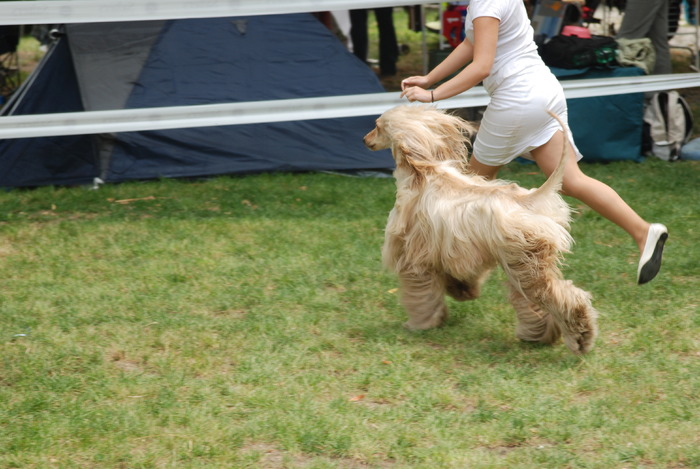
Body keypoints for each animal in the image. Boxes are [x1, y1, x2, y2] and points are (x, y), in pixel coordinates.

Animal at [364, 105, 600, 354]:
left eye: (377, 126)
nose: (364, 140)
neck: (424, 172)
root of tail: (529, 200)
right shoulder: (457, 250)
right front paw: (461, 290)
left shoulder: (414, 255)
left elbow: (421, 292)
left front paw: (421, 323)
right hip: (521, 262)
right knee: (527, 298)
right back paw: (538, 335)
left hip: (525, 259)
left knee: (561, 298)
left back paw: (580, 337)